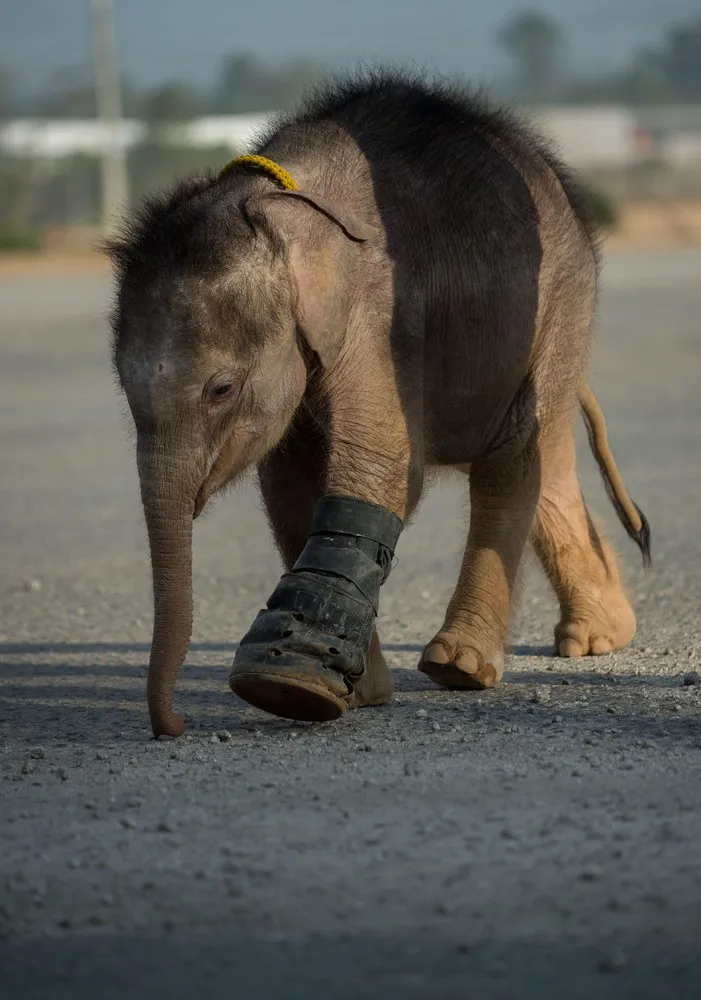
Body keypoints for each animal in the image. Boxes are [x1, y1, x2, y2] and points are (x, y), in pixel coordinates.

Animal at [109, 74, 652, 740]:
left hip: (561, 303)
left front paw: (289, 686)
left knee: (512, 459)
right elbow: (290, 485)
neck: (273, 201)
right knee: (544, 463)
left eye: (221, 389)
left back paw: (460, 667)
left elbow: (385, 463)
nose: (176, 723)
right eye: (124, 389)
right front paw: (351, 692)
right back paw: (598, 637)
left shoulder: (378, 312)